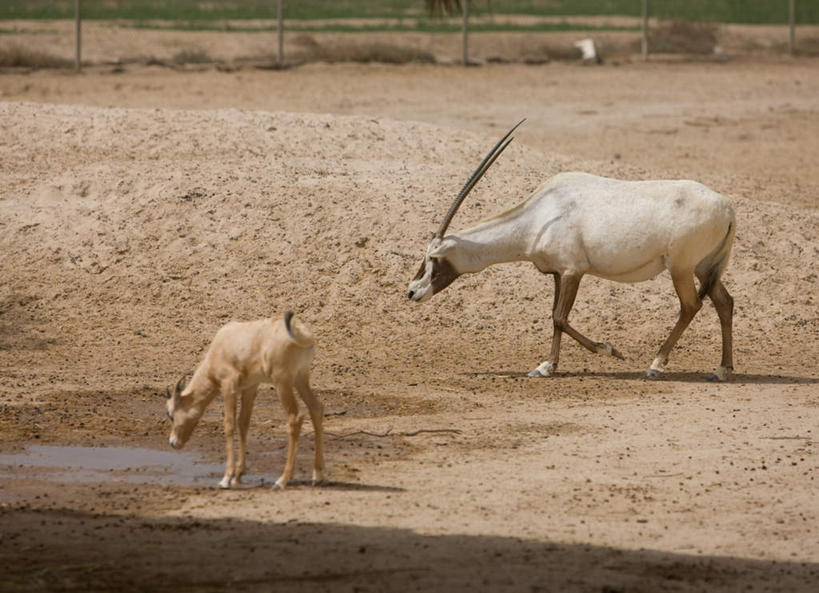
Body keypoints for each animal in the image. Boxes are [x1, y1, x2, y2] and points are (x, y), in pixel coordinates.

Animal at [165, 312, 326, 488]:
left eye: (171, 414)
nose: (173, 442)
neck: (222, 344)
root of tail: (302, 333)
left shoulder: (228, 387)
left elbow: (229, 425)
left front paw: (226, 478)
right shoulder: (250, 388)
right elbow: (243, 423)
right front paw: (238, 475)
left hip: (282, 383)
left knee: (295, 417)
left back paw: (282, 480)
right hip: (300, 379)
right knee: (316, 408)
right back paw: (317, 476)